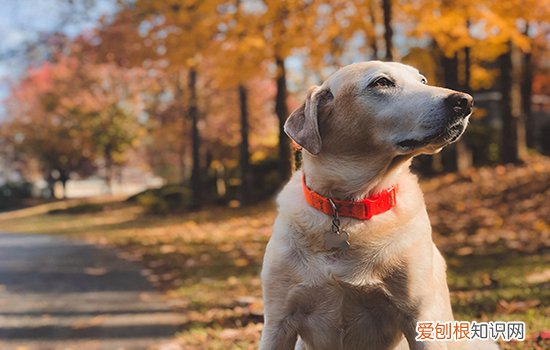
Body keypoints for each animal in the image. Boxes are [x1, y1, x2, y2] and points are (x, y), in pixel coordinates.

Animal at [260, 61, 500, 348]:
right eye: (382, 82)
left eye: (422, 80)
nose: (465, 101)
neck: (350, 204)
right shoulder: (278, 321)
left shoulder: (420, 314)